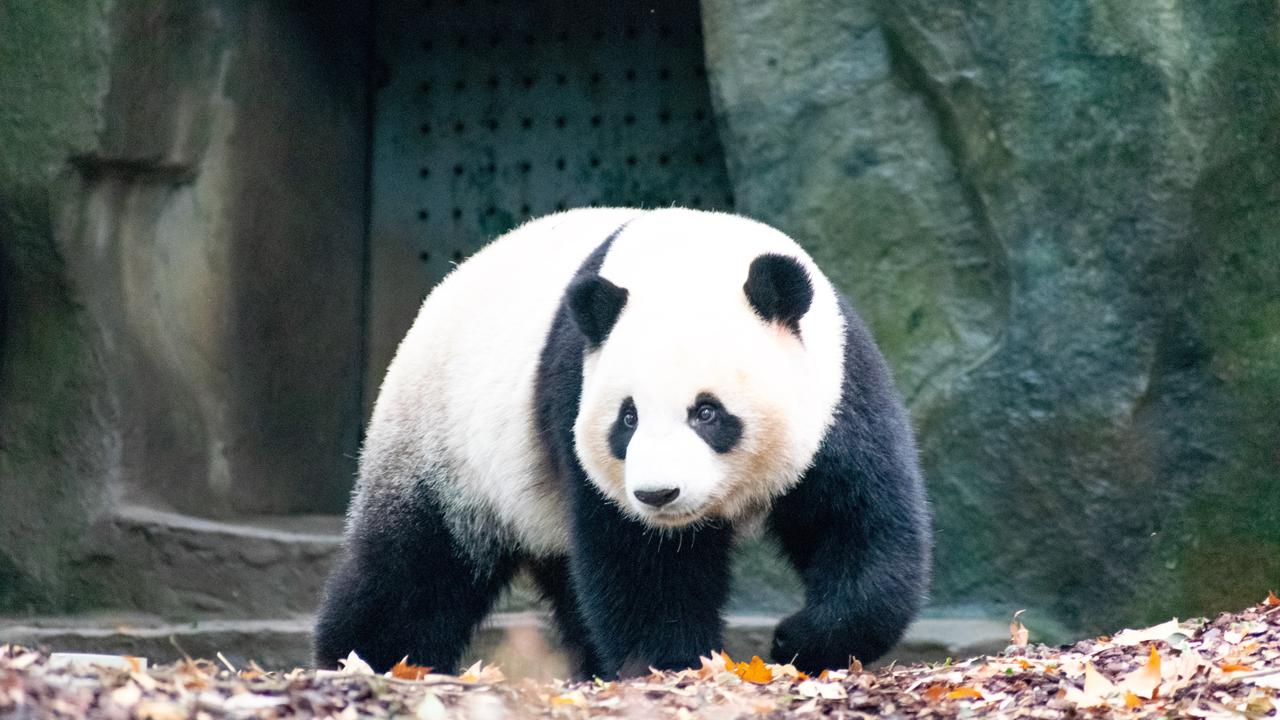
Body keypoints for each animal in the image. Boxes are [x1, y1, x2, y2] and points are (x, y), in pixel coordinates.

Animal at [314, 207, 931, 678]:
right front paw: (677, 665)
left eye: (707, 412)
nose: (659, 494)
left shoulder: (839, 391)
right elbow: (641, 563)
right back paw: (366, 659)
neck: (689, 258)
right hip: (444, 443)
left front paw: (798, 640)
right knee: (416, 568)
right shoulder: (575, 394)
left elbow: (861, 524)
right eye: (627, 419)